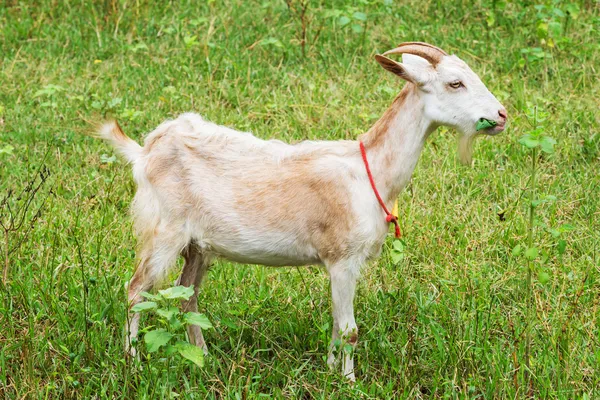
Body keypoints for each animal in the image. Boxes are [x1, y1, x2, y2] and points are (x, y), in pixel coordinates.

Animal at [97, 42, 506, 380]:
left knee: (187, 297)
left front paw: (329, 370)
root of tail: (145, 151)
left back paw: (204, 356)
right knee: (137, 290)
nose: (501, 115)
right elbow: (349, 330)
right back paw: (133, 362)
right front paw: (349, 382)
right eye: (455, 83)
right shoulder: (343, 257)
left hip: (199, 246)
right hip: (164, 230)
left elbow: (337, 324)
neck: (370, 170)